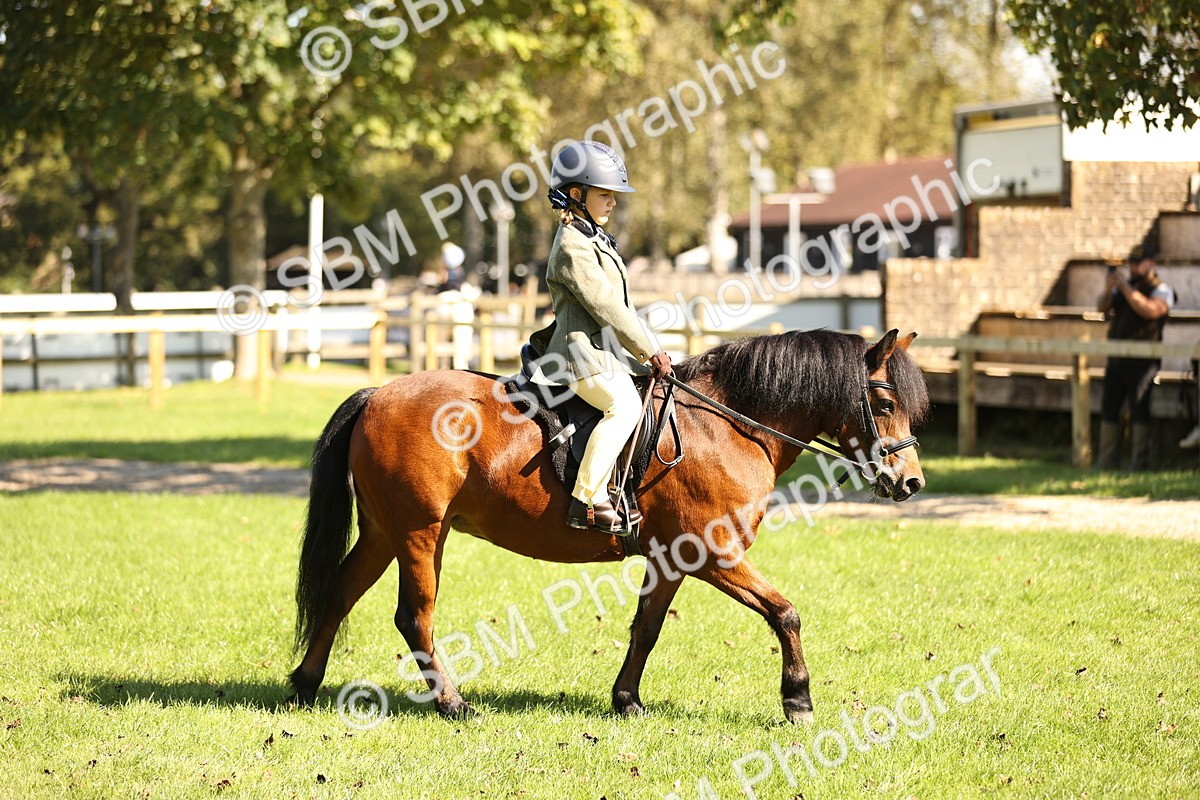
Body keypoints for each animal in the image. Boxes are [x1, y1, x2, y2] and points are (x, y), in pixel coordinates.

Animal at [289, 327, 930, 723]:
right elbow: (785, 612)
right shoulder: (717, 554)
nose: (911, 483)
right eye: (884, 401)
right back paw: (452, 703)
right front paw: (797, 700)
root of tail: (379, 394)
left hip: (384, 534)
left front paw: (627, 700)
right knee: (414, 616)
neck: (726, 425)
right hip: (421, 536)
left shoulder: (674, 559)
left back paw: (304, 683)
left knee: (339, 595)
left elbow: (646, 629)